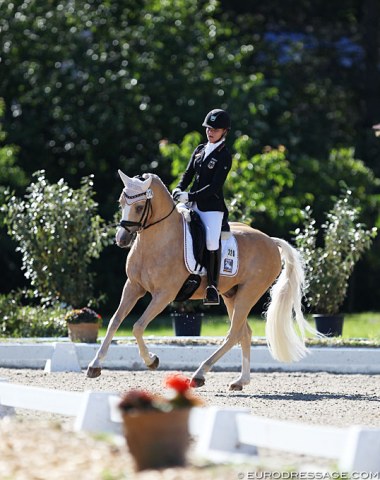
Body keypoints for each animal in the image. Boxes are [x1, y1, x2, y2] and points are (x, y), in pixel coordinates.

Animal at [87, 169, 316, 390]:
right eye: (121, 203)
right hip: (231, 294)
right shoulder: (133, 287)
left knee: (233, 334)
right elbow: (115, 321)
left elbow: (137, 326)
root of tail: (271, 241)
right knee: (245, 333)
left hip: (249, 293)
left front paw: (151, 361)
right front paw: (94, 366)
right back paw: (240, 381)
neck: (156, 241)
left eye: (140, 206)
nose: (121, 239)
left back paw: (199, 375)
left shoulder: (164, 295)